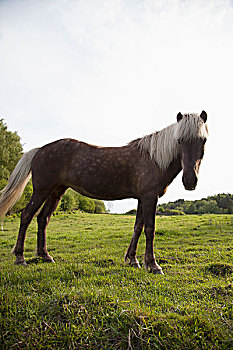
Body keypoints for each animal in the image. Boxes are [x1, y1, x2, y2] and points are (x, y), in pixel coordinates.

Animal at [0, 110, 208, 274]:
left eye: (203, 140)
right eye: (179, 141)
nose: (190, 181)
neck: (154, 159)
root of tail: (39, 150)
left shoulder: (142, 198)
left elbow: (137, 227)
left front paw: (133, 260)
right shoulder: (150, 197)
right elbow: (150, 229)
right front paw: (153, 265)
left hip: (56, 192)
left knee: (43, 219)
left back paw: (45, 256)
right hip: (42, 190)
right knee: (26, 215)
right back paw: (20, 258)